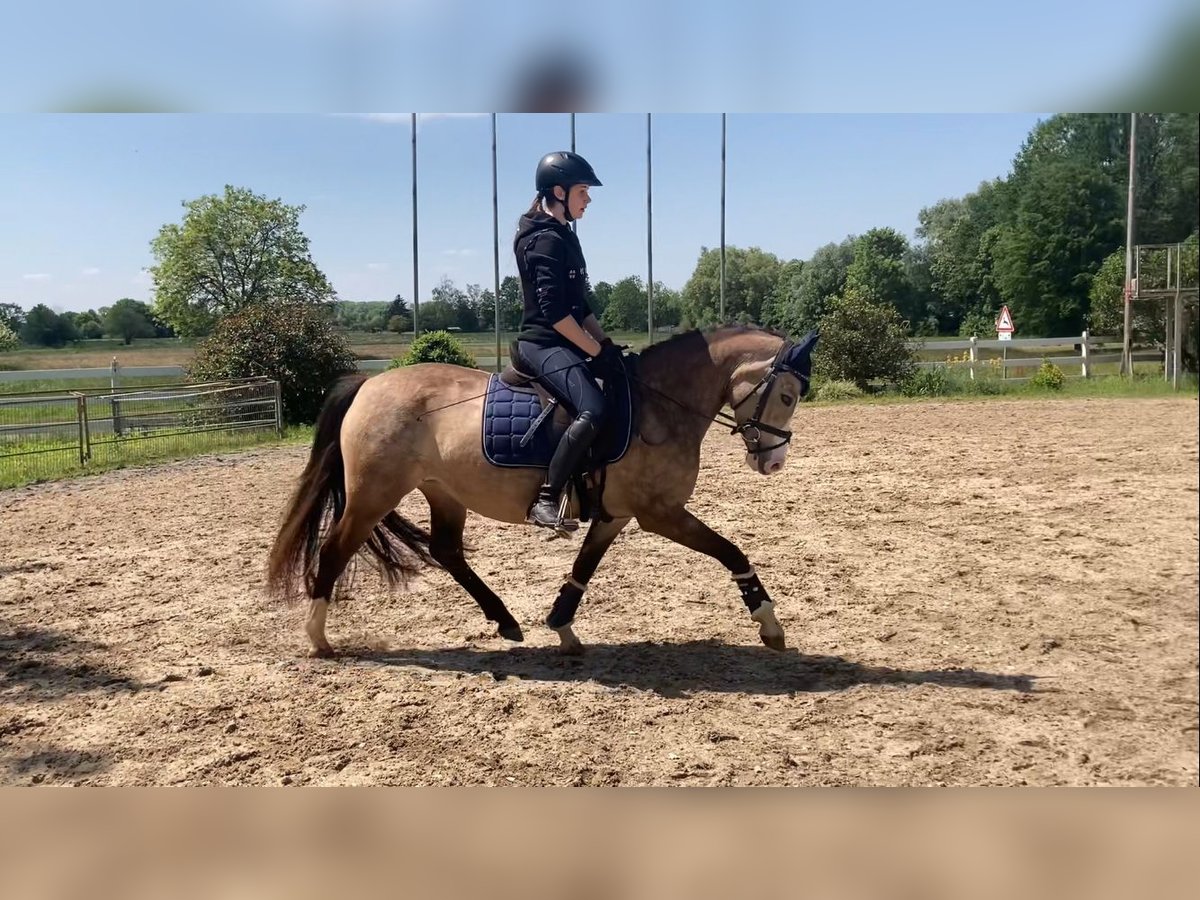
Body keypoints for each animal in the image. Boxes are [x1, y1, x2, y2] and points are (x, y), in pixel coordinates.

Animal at [267, 324, 820, 657]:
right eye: (787, 395)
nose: (772, 462)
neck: (659, 406)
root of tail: (368, 385)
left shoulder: (616, 514)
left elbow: (583, 569)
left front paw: (562, 625)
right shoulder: (660, 512)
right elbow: (731, 552)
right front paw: (769, 623)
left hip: (442, 491)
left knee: (447, 551)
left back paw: (506, 621)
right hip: (374, 495)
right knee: (335, 550)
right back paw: (318, 639)